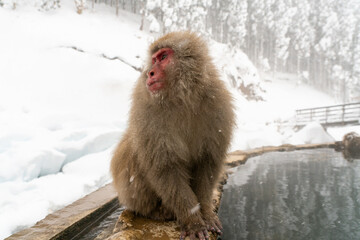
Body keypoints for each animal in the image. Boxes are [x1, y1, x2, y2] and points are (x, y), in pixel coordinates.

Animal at [112, 31, 236, 240]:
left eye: (163, 57)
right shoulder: (145, 109)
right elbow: (166, 167)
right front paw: (193, 220)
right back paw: (158, 211)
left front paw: (206, 213)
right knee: (134, 149)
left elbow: (207, 161)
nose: (149, 73)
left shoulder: (219, 105)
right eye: (153, 60)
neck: (183, 97)